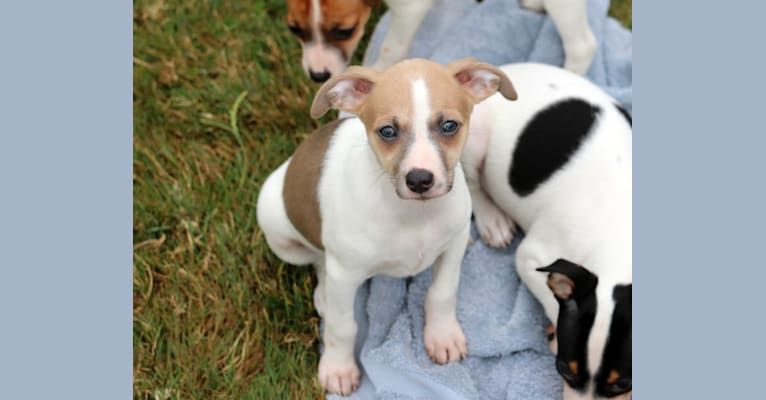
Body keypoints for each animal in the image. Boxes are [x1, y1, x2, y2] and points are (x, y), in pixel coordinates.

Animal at [256, 57, 516, 396]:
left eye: (449, 126)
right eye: (388, 131)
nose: (420, 180)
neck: (412, 214)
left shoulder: (453, 245)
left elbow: (443, 291)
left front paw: (442, 336)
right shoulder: (346, 274)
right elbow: (342, 326)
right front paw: (338, 368)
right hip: (276, 224)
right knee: (319, 259)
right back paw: (324, 294)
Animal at [284, 0, 596, 82]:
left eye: (345, 31)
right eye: (293, 29)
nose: (317, 76)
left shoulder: (411, 9)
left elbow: (391, 46)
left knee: (583, 45)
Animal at [464, 61, 632, 398]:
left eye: (622, 383)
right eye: (564, 370)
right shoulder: (530, 257)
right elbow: (552, 298)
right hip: (473, 141)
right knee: (472, 183)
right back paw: (492, 220)